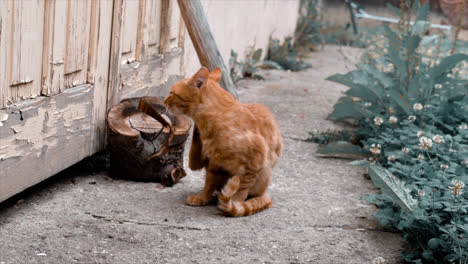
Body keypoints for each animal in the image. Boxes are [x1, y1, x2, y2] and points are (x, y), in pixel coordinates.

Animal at [165, 66, 282, 217]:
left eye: (172, 93)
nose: (164, 102)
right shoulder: (213, 163)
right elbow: (209, 183)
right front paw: (202, 197)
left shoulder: (256, 159)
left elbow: (242, 188)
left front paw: (235, 203)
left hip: (264, 174)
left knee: (255, 195)